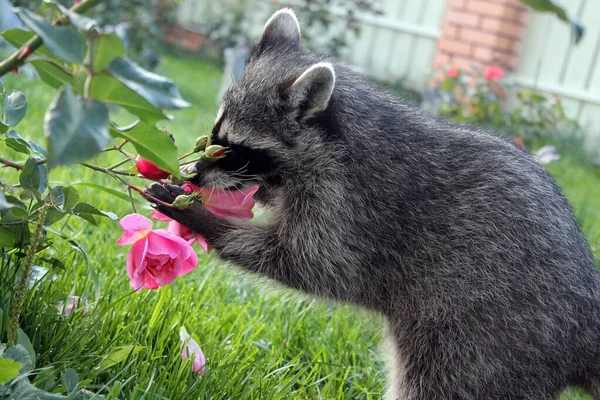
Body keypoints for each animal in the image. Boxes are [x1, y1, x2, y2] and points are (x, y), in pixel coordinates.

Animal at [148, 7, 600, 398]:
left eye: (234, 150)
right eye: (215, 136)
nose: (194, 174)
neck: (332, 141)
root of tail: (585, 319)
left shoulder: (352, 209)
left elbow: (310, 263)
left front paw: (208, 220)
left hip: (487, 339)